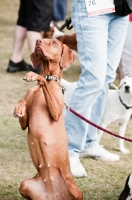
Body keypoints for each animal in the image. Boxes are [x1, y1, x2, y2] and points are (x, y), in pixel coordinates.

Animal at [13, 38, 82, 199]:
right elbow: (23, 102)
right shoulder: (24, 123)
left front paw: (33, 75)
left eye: (54, 42)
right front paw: (19, 107)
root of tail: (53, 196)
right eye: (43, 39)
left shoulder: (55, 112)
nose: (38, 40)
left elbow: (42, 79)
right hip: (25, 184)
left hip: (75, 191)